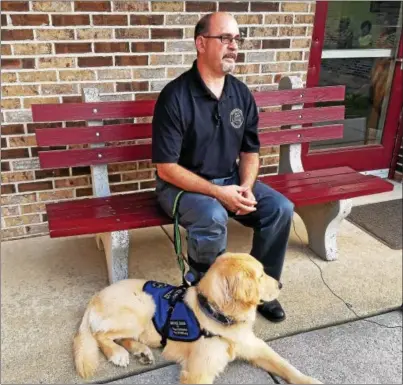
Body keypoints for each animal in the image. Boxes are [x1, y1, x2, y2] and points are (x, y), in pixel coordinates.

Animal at [75, 250, 322, 382]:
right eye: (260, 276)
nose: (281, 284)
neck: (218, 316)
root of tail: (95, 297)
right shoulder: (198, 372)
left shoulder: (257, 347)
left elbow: (287, 366)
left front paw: (310, 381)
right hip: (142, 307)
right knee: (99, 335)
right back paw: (117, 354)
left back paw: (140, 351)